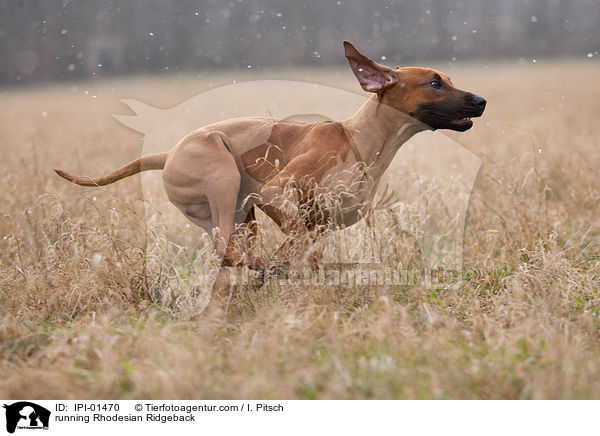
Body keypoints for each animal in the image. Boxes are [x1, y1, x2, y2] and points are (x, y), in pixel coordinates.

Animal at [55, 41, 488, 266]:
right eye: (434, 82)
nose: (481, 100)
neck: (359, 140)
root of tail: (168, 152)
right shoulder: (276, 192)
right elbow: (297, 241)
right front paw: (284, 265)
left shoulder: (323, 223)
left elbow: (309, 251)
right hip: (224, 175)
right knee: (228, 252)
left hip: (240, 215)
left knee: (231, 252)